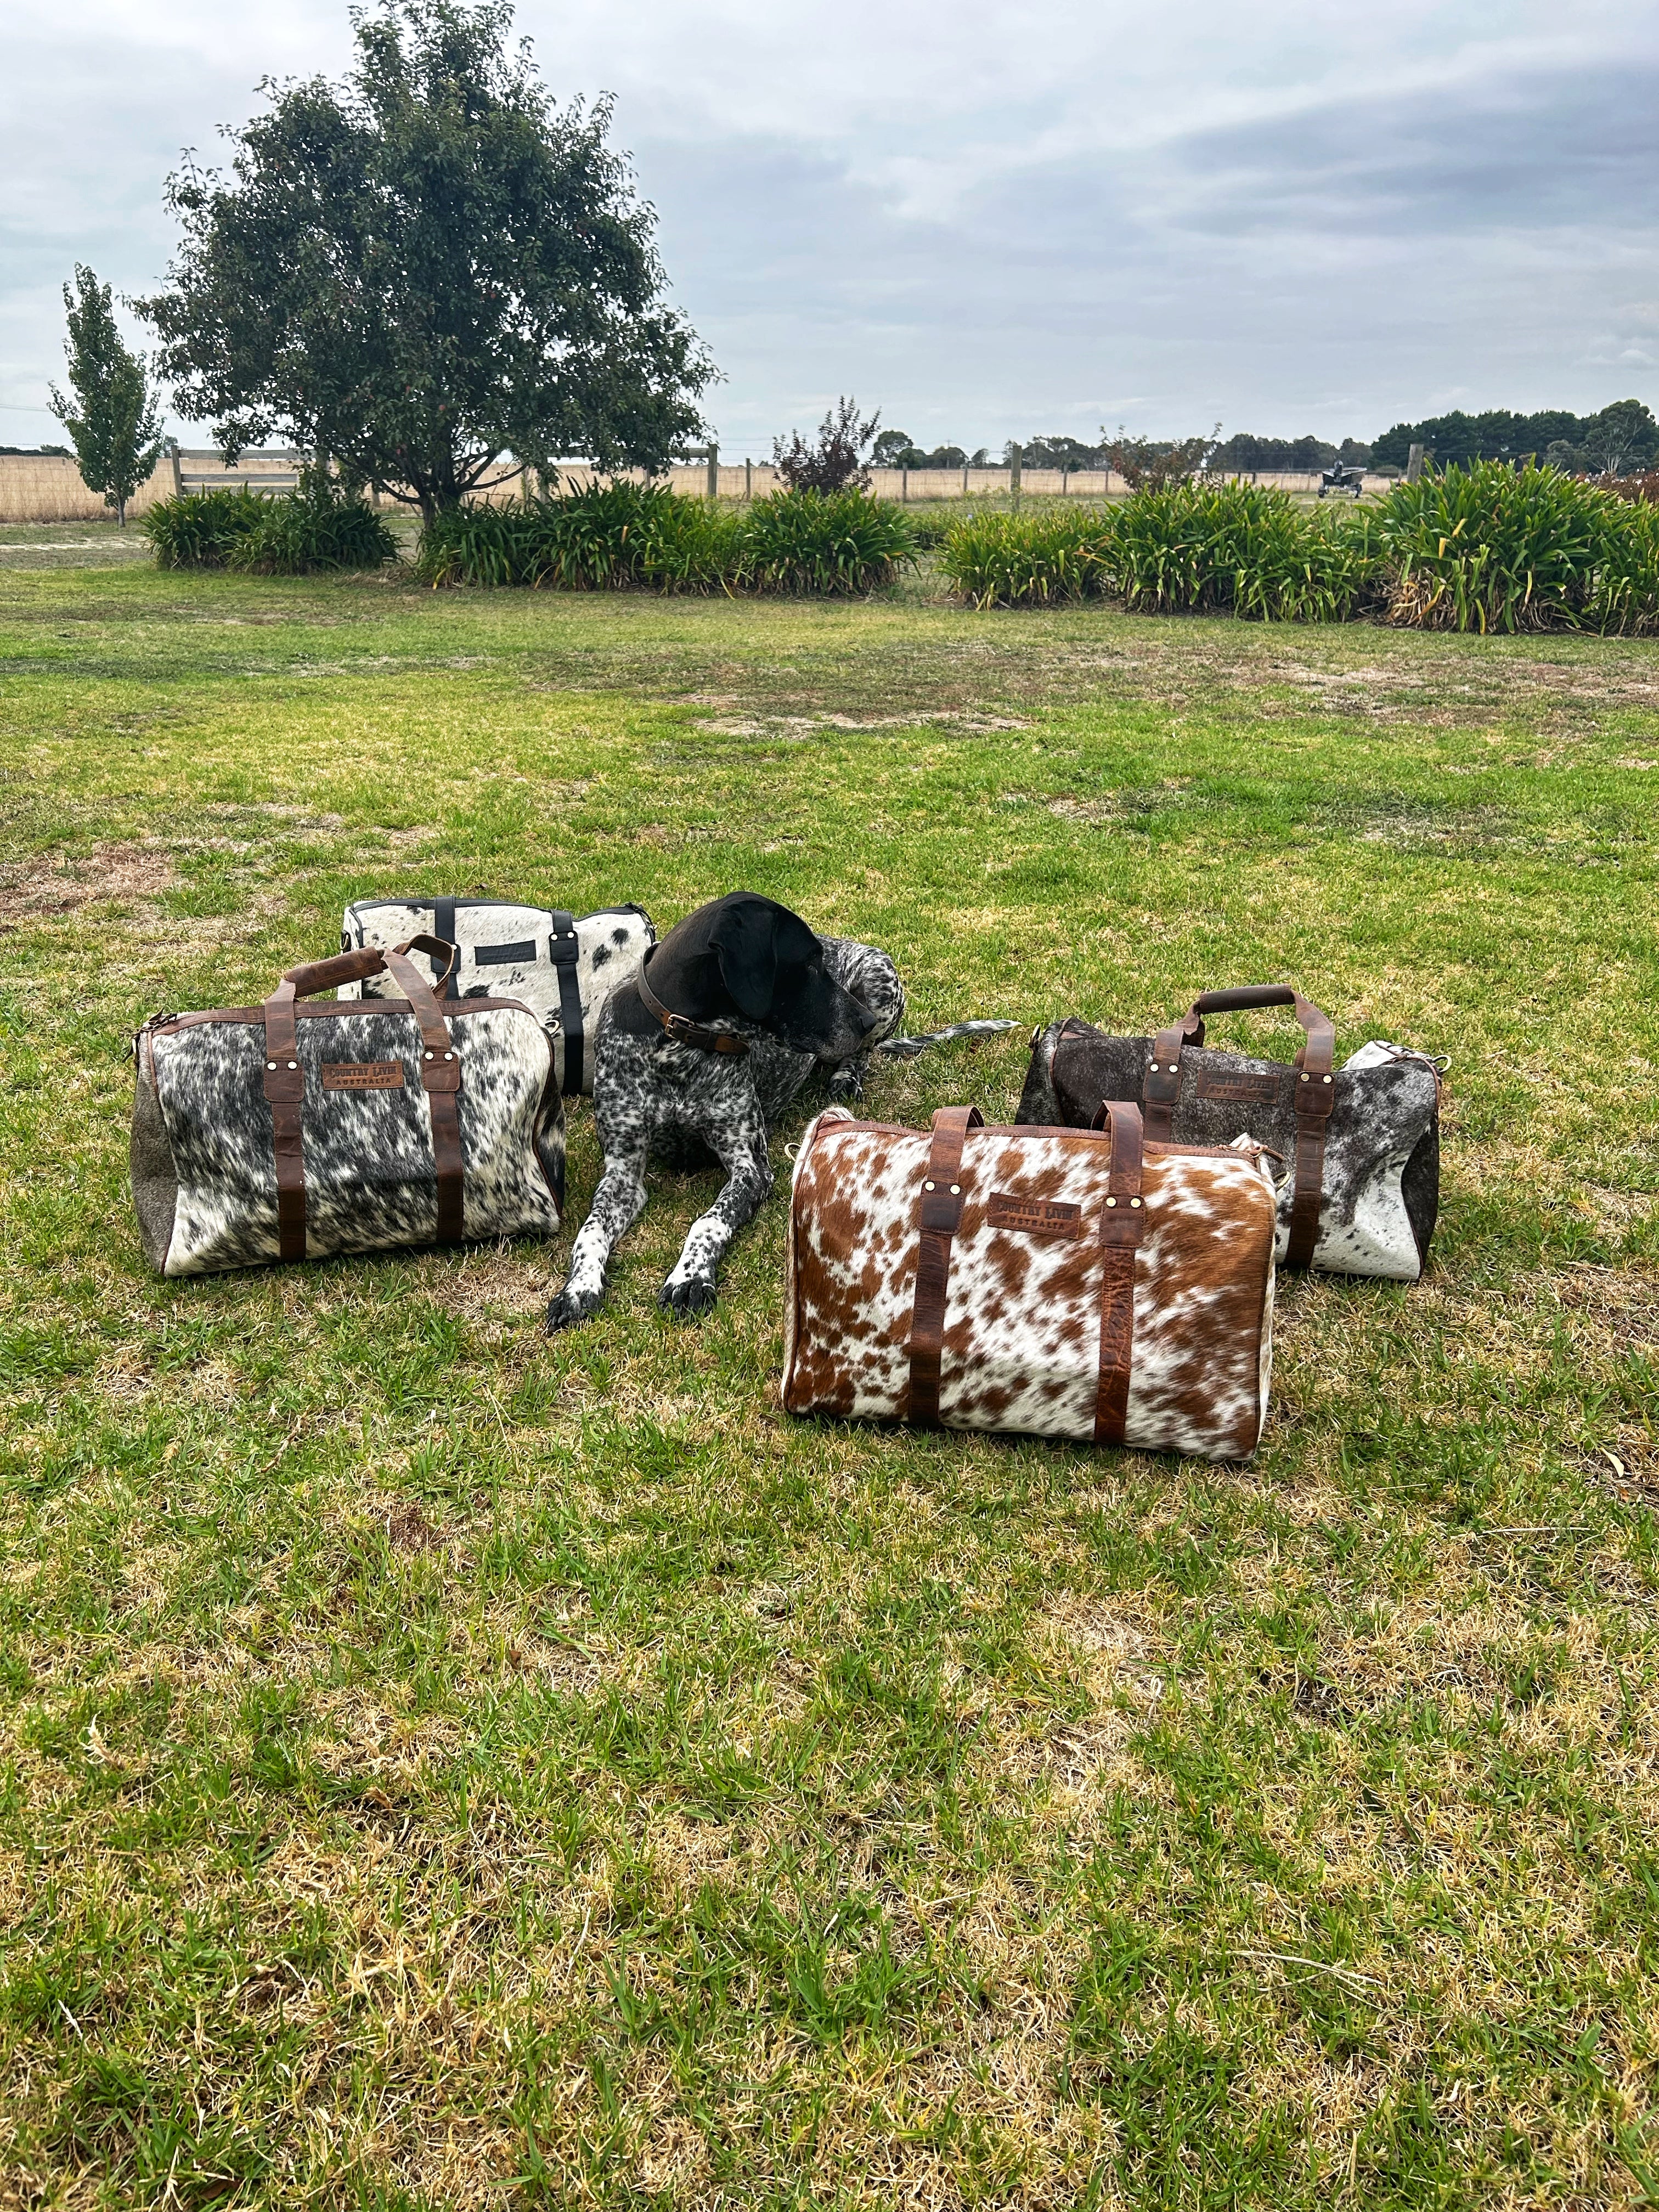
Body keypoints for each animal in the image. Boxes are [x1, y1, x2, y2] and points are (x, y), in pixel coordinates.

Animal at [553, 893, 902, 1327]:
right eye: (808, 964)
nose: (864, 1020)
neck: (677, 1046)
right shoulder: (622, 1172)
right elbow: (591, 1230)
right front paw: (579, 1286)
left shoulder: (750, 1167)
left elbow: (709, 1221)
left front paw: (689, 1277)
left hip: (879, 977)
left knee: (864, 1053)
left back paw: (846, 1076)